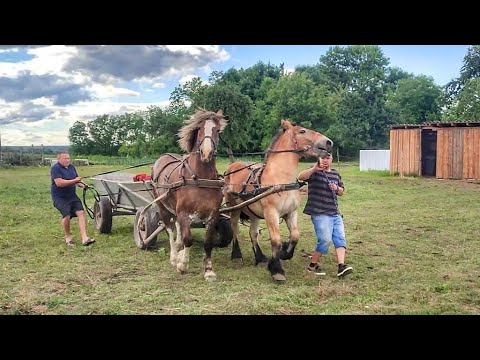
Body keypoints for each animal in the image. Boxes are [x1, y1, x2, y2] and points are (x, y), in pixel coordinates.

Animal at [153, 108, 230, 282]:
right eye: (199, 129)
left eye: (217, 130)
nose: (207, 153)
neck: (200, 179)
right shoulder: (183, 212)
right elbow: (188, 239)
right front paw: (182, 265)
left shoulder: (213, 215)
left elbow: (208, 242)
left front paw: (208, 270)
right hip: (162, 207)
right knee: (170, 229)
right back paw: (174, 256)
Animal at [222, 119, 332, 282]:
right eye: (302, 131)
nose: (329, 142)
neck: (281, 179)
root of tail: (231, 167)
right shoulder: (271, 213)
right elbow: (276, 240)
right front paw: (276, 270)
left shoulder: (291, 213)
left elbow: (295, 236)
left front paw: (285, 254)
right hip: (234, 207)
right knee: (234, 228)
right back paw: (236, 255)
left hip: (253, 212)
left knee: (253, 233)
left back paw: (260, 257)